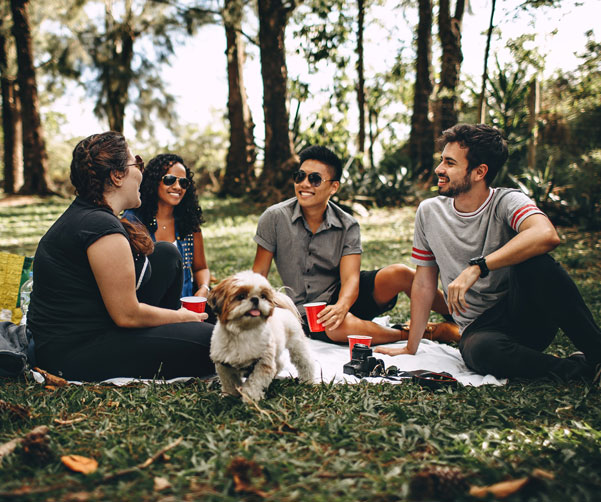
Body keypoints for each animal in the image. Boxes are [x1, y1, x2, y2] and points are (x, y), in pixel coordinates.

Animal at [209, 270, 316, 404]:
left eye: (263, 296)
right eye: (241, 296)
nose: (255, 299)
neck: (243, 332)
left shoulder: (263, 362)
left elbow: (254, 382)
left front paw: (250, 398)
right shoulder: (224, 364)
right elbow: (229, 382)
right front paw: (229, 395)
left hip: (297, 346)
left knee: (305, 363)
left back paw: (308, 380)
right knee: (279, 363)